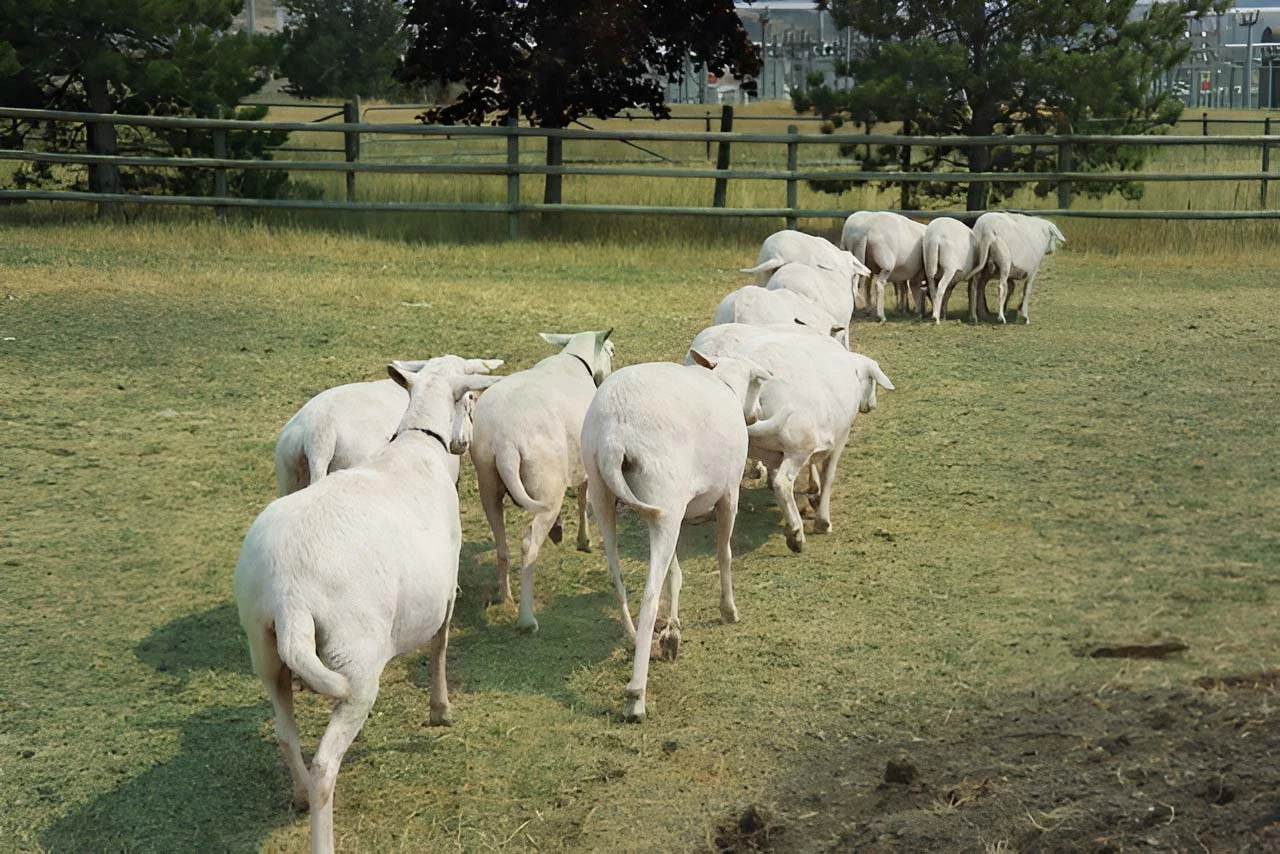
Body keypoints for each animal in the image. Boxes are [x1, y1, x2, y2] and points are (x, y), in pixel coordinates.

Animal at [469, 329, 614, 631]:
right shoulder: (582, 461)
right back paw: (527, 619)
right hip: (547, 479)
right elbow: (582, 497)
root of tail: (505, 441)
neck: (573, 359)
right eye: (612, 350)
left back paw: (506, 596)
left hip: (487, 481)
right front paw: (584, 540)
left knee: (502, 544)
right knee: (528, 544)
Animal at [581, 352, 772, 721]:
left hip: (605, 493)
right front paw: (728, 609)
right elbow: (724, 554)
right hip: (663, 492)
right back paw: (636, 695)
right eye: (758, 384)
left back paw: (634, 638)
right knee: (649, 593)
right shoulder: (728, 494)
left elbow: (675, 570)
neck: (725, 383)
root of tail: (613, 433)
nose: (756, 414)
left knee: (616, 575)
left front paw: (675, 626)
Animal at [730, 331, 894, 552]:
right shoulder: (840, 437)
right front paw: (823, 521)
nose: (872, 405)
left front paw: (812, 496)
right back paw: (796, 534)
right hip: (798, 443)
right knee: (784, 482)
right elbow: (828, 476)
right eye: (871, 380)